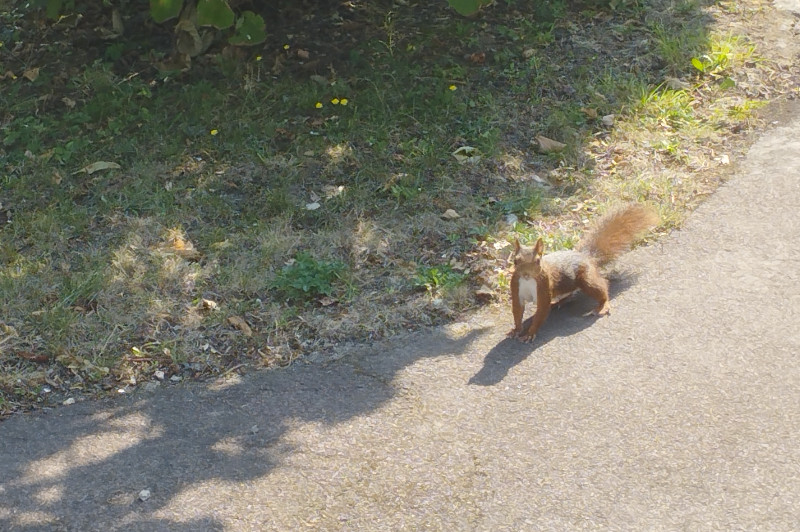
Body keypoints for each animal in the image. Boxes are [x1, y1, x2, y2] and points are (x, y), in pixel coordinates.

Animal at [507, 203, 658, 343]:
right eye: (515, 261)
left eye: (538, 261)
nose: (526, 274)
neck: (528, 281)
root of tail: (586, 257)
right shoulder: (516, 286)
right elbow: (517, 310)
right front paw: (517, 329)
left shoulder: (544, 286)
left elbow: (541, 312)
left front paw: (530, 333)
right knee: (570, 294)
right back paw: (558, 303)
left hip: (587, 280)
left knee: (602, 286)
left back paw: (602, 305)